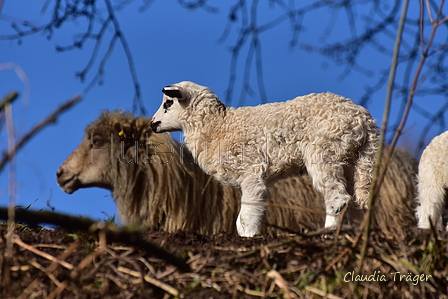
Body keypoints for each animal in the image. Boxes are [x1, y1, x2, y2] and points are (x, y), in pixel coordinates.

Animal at [150, 81, 378, 238]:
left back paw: (328, 232)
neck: (217, 126)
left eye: (168, 102)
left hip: (325, 151)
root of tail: (365, 120)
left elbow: (245, 217)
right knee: (355, 200)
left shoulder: (251, 170)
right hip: (352, 159)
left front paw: (250, 236)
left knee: (338, 197)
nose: (153, 124)